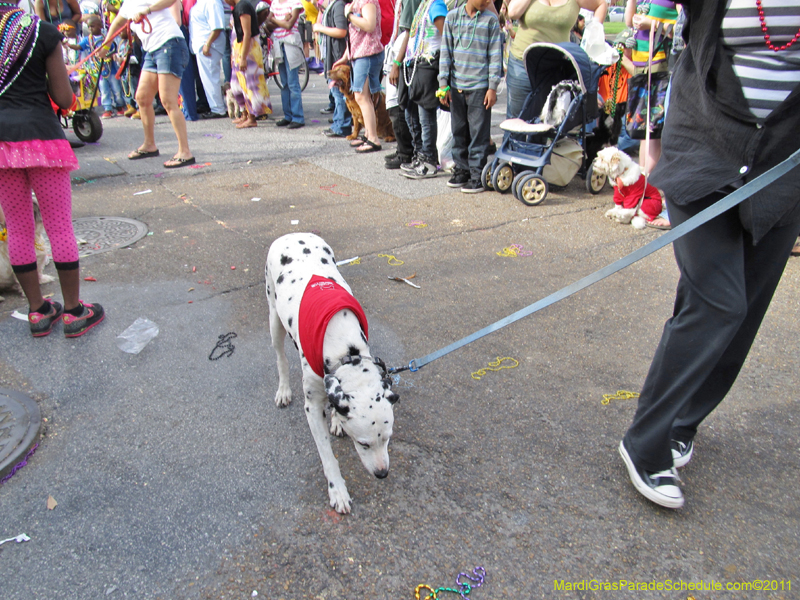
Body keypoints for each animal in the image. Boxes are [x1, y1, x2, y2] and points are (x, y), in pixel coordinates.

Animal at [264, 232, 398, 512]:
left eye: (388, 438)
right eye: (364, 443)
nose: (382, 473)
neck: (342, 342)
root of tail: (292, 234)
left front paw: (337, 420)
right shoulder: (312, 408)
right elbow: (327, 456)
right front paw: (337, 491)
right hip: (274, 319)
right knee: (280, 357)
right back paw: (283, 390)